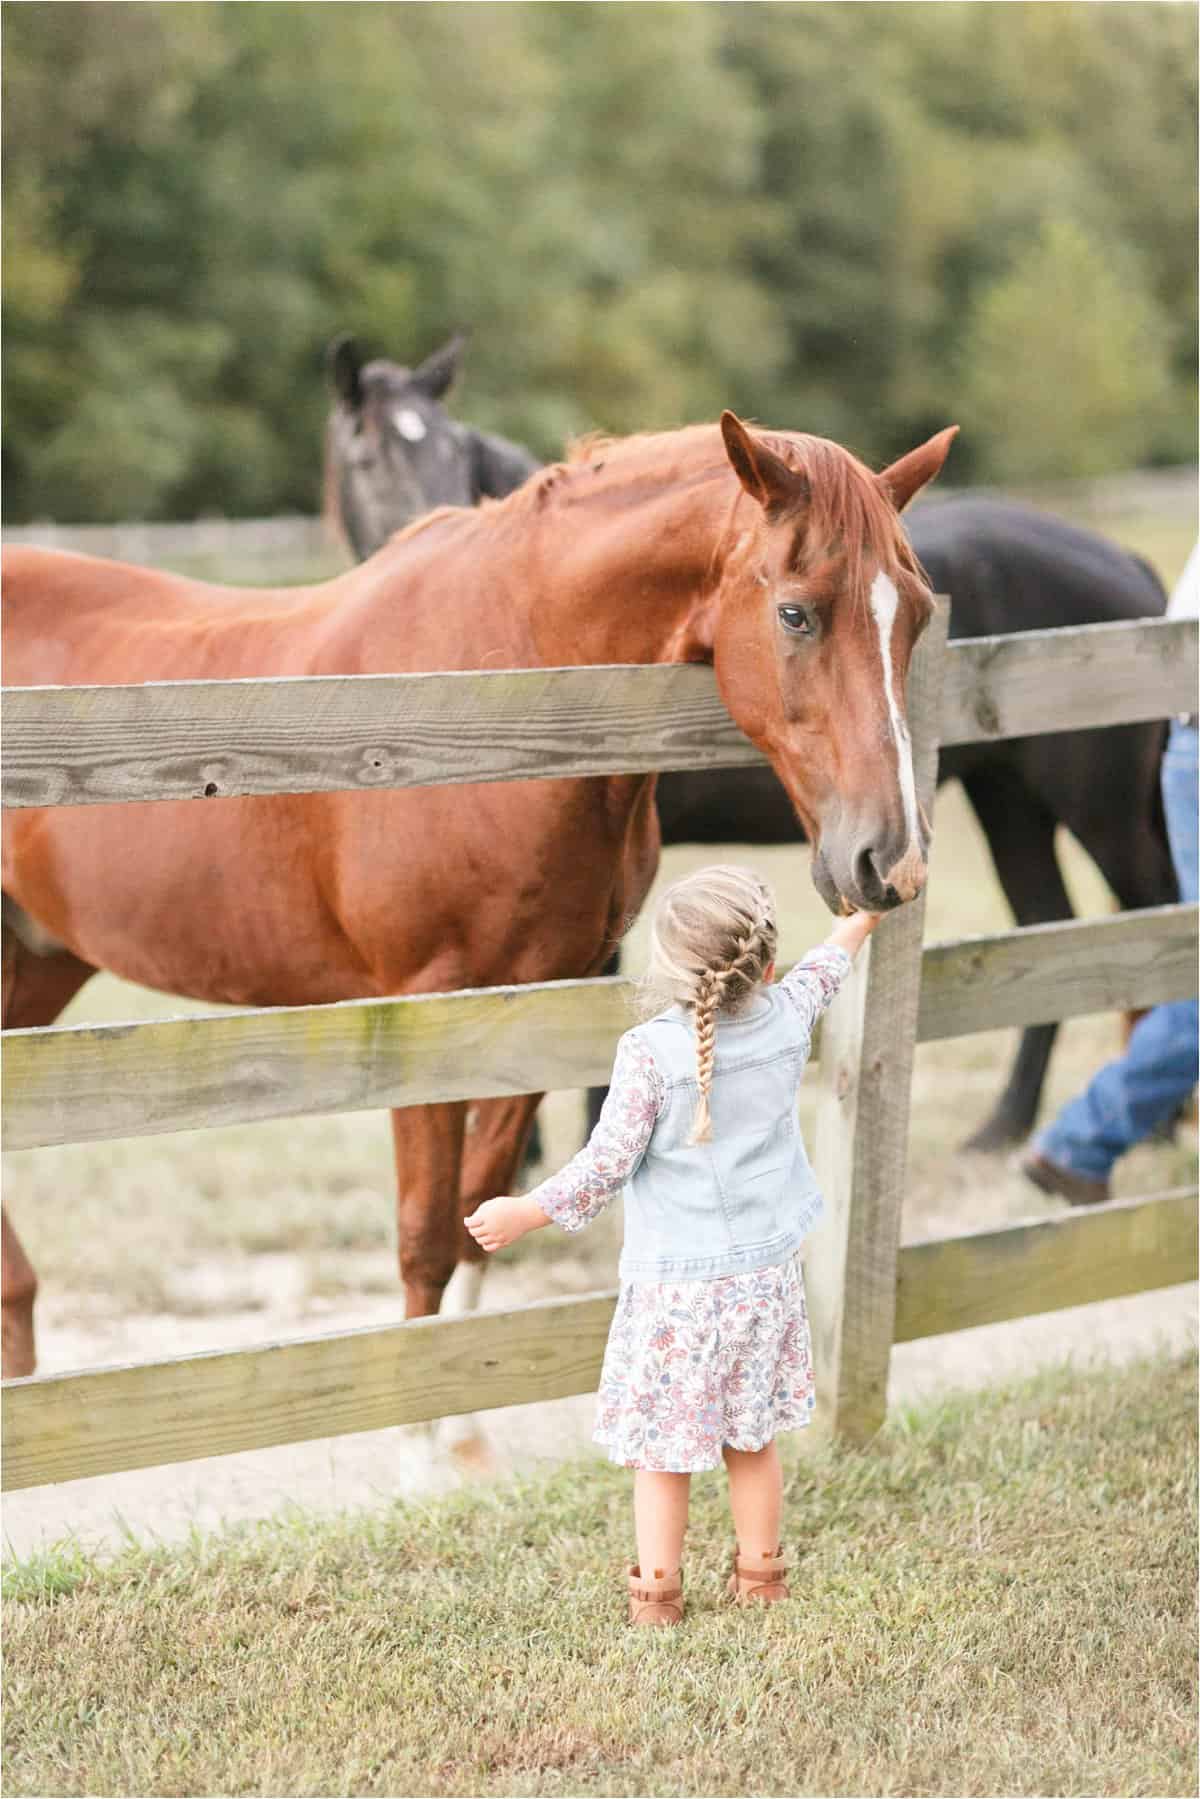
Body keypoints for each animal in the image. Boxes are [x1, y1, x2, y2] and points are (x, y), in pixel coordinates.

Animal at [323, 334, 1180, 1151]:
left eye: (449, 446)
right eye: (366, 455)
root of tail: (1132, 564)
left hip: (1098, 816)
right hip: (1011, 805)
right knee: (1049, 924)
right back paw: (1010, 1125)